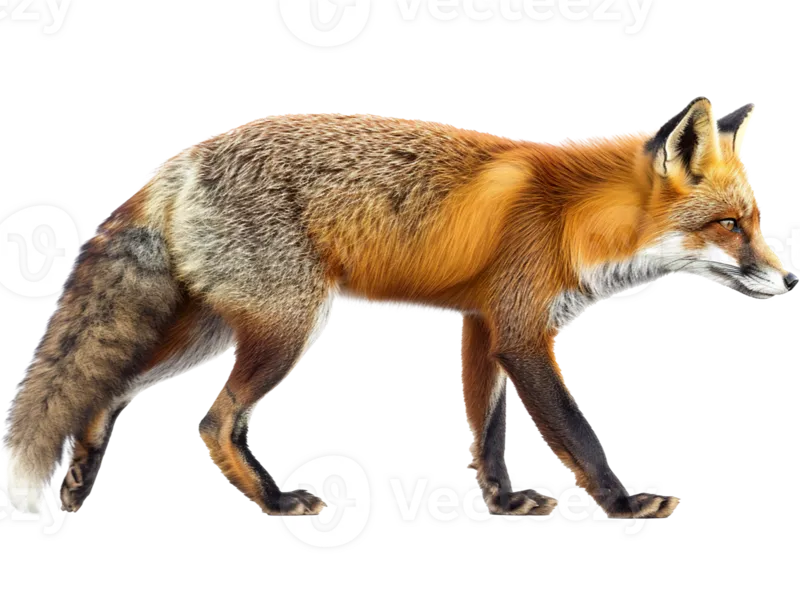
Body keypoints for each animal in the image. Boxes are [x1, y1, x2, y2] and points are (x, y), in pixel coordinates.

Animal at [2, 99, 795, 522]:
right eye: (730, 226)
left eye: (756, 223)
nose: (788, 278)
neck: (575, 214)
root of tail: (176, 163)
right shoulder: (520, 328)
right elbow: (576, 435)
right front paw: (624, 505)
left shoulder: (482, 324)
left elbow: (487, 435)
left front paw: (503, 501)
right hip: (285, 327)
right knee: (213, 419)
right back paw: (276, 501)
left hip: (212, 326)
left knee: (110, 389)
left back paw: (82, 475)